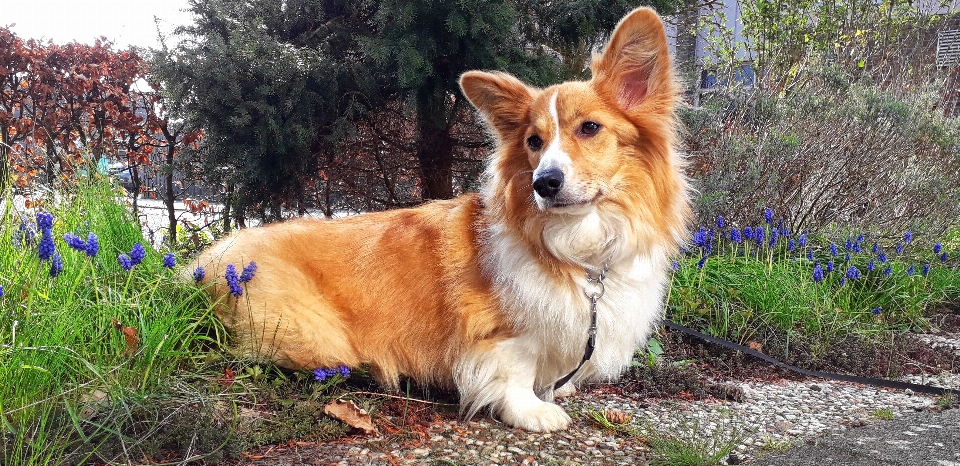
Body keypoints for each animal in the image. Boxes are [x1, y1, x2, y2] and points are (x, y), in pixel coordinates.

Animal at [193, 6, 688, 434]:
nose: (543, 183)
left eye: (589, 128)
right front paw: (533, 410)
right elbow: (514, 368)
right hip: (318, 337)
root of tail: (202, 262)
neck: (579, 245)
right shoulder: (500, 329)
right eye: (534, 141)